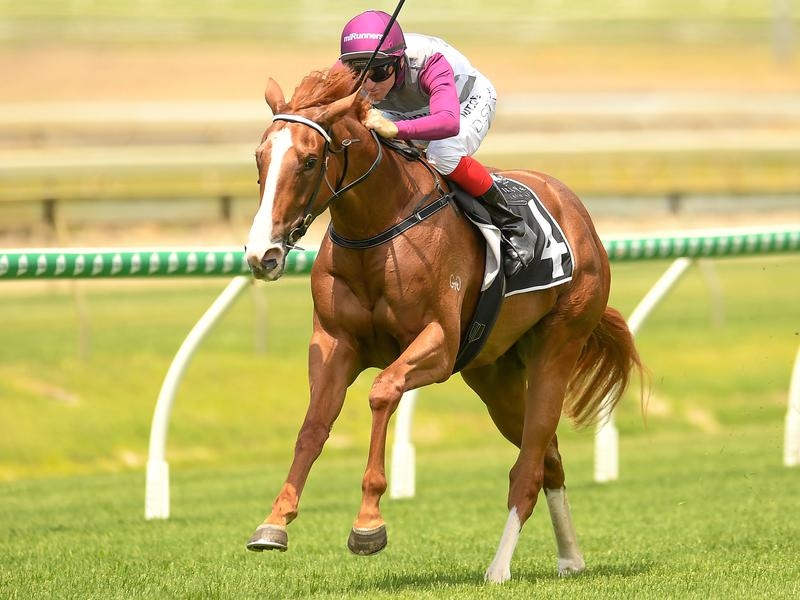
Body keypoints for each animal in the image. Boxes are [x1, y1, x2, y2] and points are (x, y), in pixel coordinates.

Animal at [243, 68, 643, 584]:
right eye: (260, 158)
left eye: (310, 161)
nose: (263, 254)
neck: (378, 230)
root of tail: (576, 209)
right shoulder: (334, 344)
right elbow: (314, 424)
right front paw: (275, 520)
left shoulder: (439, 343)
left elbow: (382, 391)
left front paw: (368, 522)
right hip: (493, 375)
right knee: (549, 459)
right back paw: (570, 558)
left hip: (558, 344)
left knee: (529, 468)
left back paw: (499, 568)